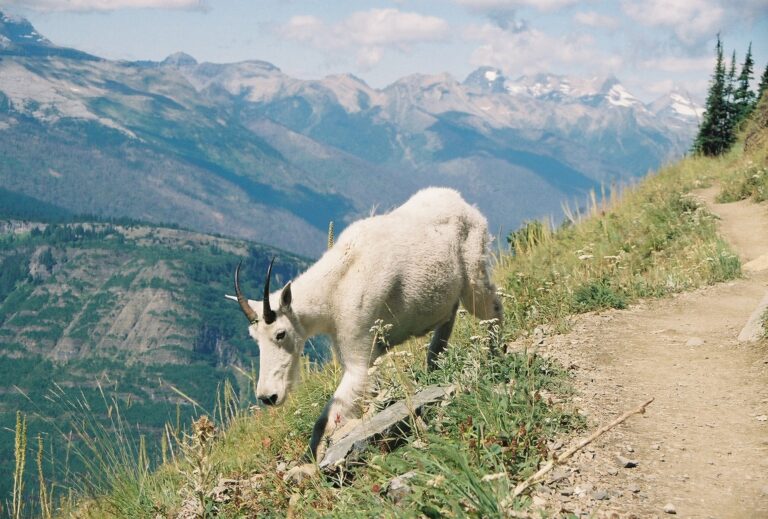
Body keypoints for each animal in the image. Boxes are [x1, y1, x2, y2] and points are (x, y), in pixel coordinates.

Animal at [231, 188, 500, 460]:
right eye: (254, 337)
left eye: (280, 334)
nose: (268, 396)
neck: (334, 290)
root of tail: (464, 203)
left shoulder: (360, 352)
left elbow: (326, 418)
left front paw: (311, 461)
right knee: (447, 320)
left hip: (474, 276)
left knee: (493, 307)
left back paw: (495, 352)